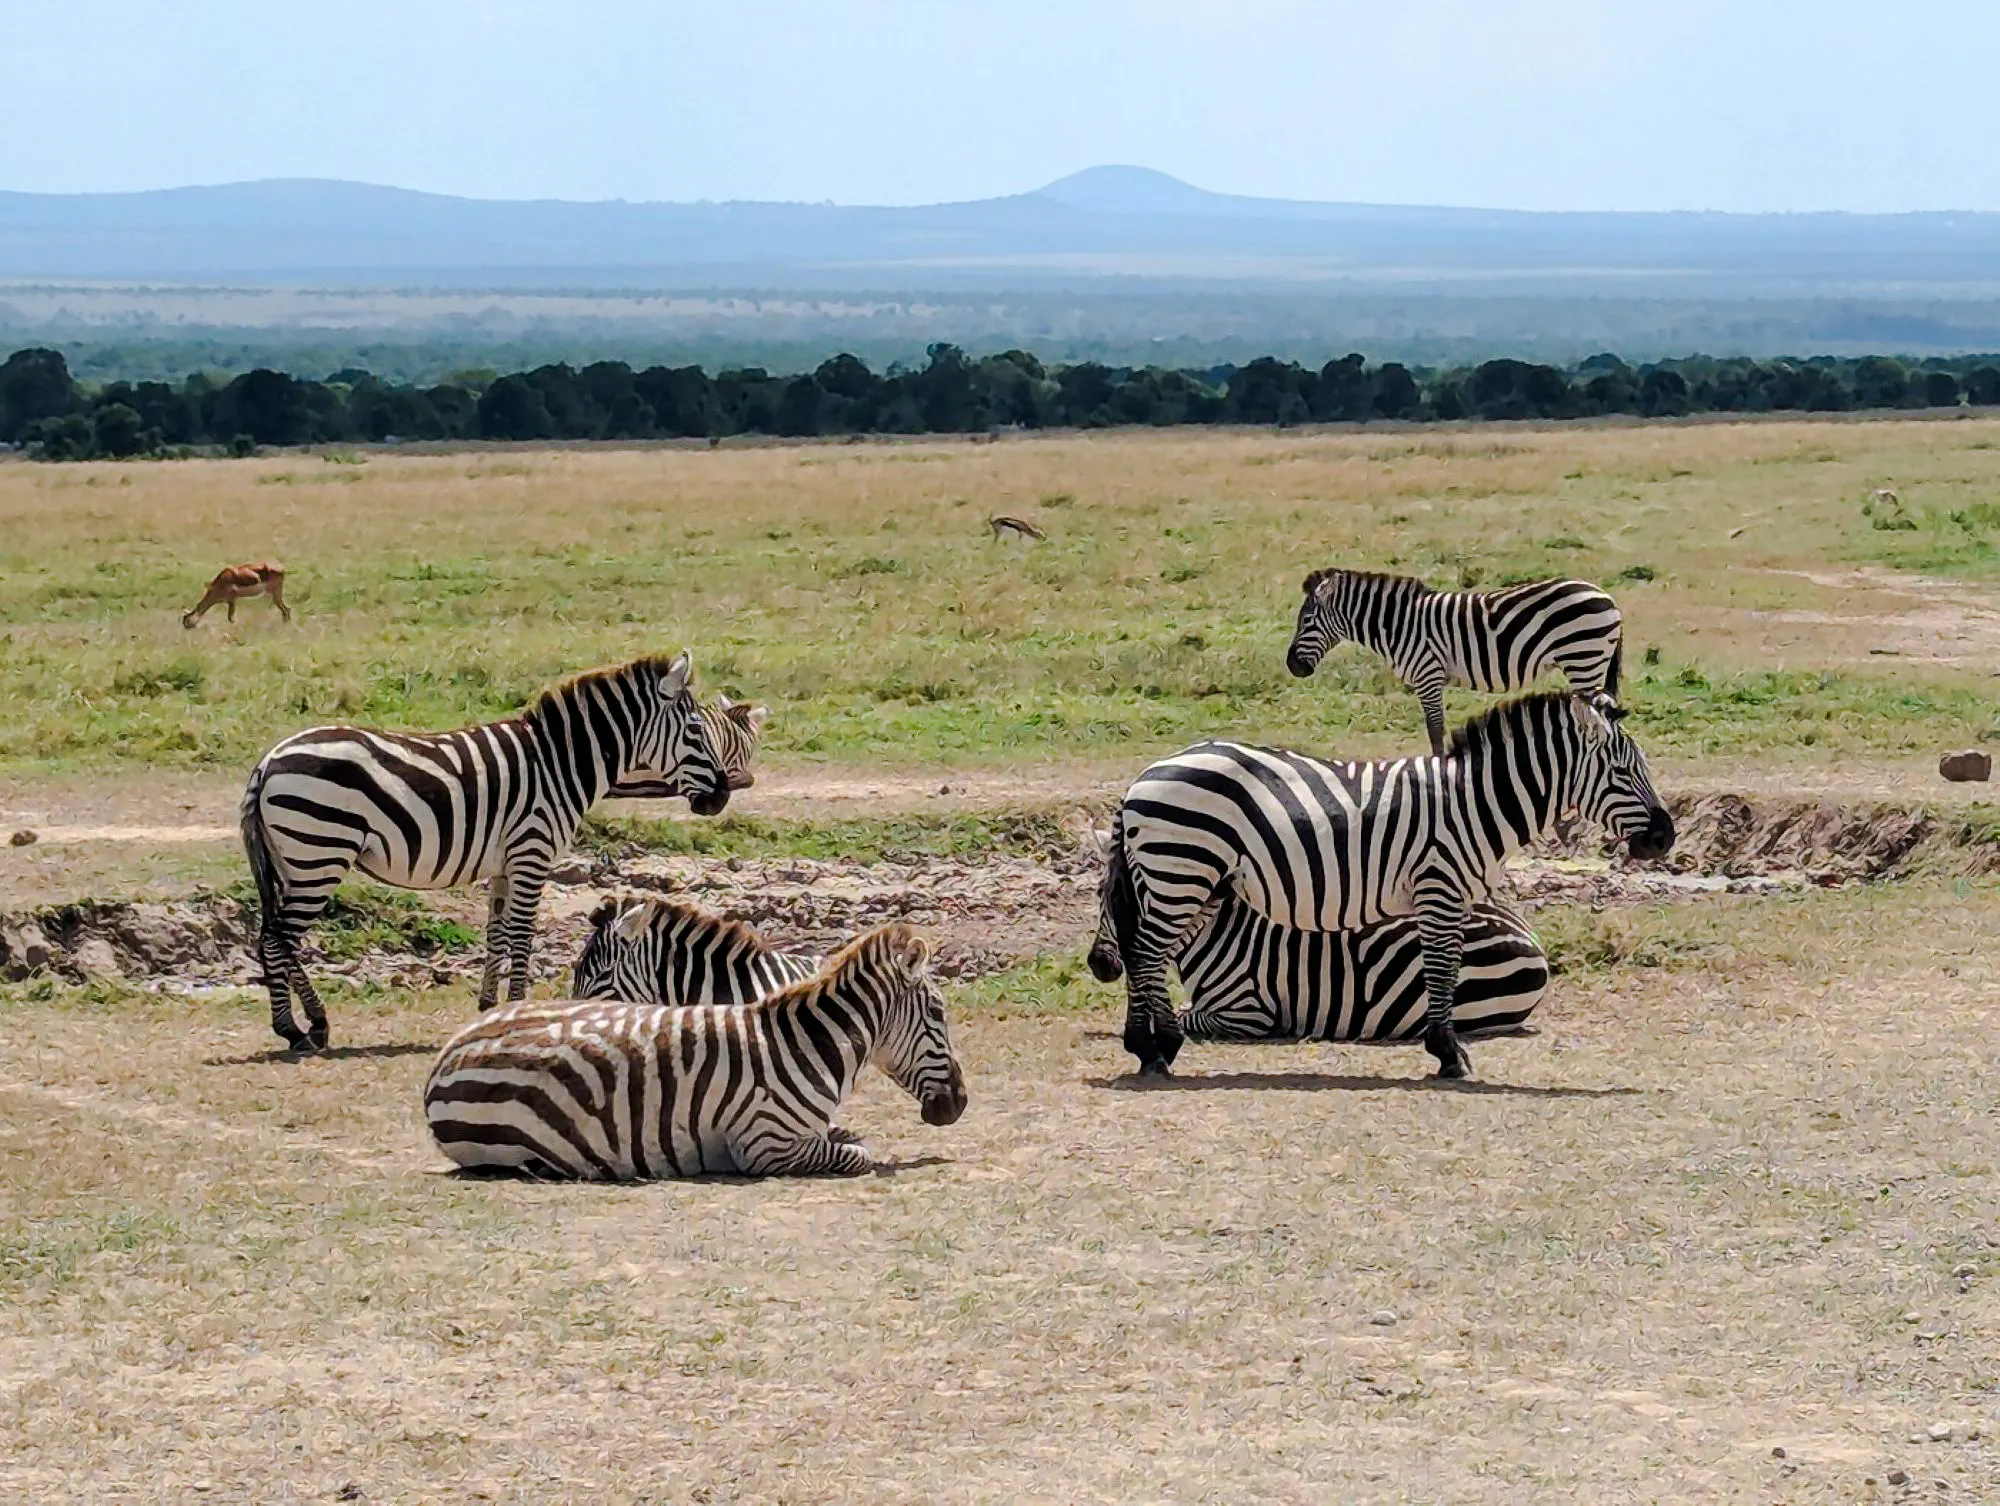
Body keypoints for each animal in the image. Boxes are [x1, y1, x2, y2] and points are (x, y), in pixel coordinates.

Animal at [240, 651, 730, 1053]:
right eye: (695, 729)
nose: (722, 797)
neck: (559, 764)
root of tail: (268, 761)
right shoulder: (532, 851)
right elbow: (522, 935)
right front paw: (517, 1011)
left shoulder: (504, 864)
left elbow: (496, 935)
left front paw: (490, 1009)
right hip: (320, 852)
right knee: (279, 938)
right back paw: (295, 1029)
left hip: (296, 860)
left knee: (276, 937)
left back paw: (312, 1024)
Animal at [424, 921, 968, 1179]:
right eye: (938, 1013)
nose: (959, 1104)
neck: (807, 1043)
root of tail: (445, 1056)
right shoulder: (765, 1144)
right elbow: (857, 1154)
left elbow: (849, 1134)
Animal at [1286, 569, 1624, 757]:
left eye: (1306, 620)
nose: (1292, 667)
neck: (1398, 625)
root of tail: (1608, 598)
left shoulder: (1428, 675)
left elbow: (1435, 730)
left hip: (1583, 660)